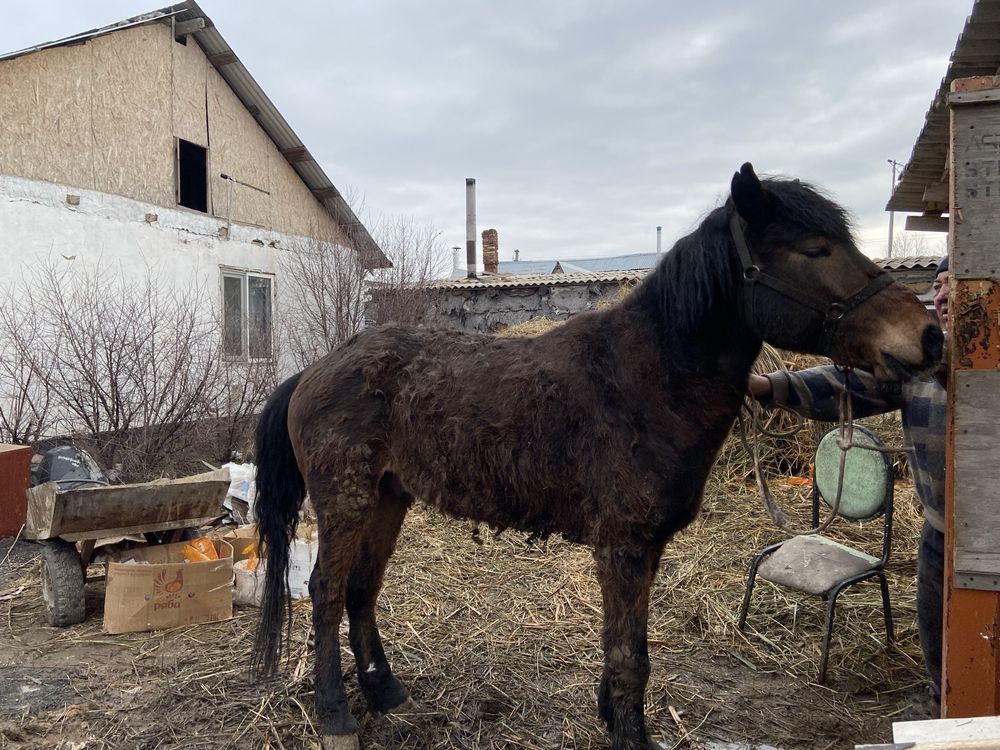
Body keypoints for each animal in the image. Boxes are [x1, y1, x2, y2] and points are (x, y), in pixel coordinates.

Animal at [254, 166, 940, 750]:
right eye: (814, 250)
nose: (927, 336)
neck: (645, 379)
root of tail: (317, 368)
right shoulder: (624, 545)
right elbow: (629, 657)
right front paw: (629, 733)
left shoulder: (644, 547)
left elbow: (628, 648)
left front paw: (614, 716)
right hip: (346, 500)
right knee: (325, 591)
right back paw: (336, 716)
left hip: (388, 496)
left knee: (361, 588)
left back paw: (385, 691)